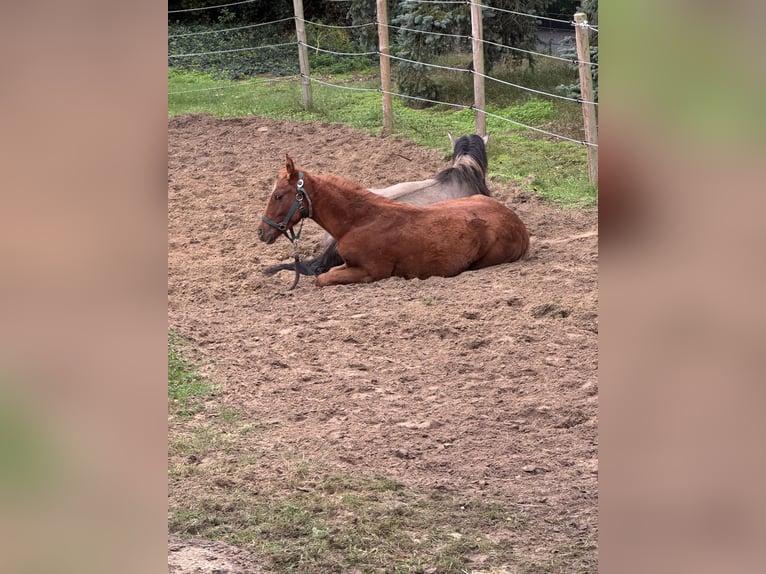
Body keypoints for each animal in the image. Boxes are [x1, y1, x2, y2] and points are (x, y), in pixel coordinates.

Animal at [257, 154, 529, 287]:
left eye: (278, 195)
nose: (261, 232)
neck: (359, 222)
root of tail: (517, 224)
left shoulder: (371, 272)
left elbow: (322, 279)